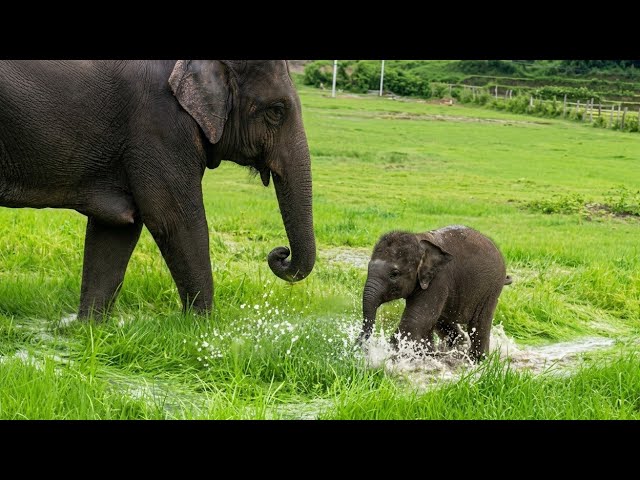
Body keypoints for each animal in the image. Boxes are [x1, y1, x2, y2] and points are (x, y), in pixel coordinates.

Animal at [0, 60, 316, 319]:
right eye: (276, 111)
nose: (280, 252)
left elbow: (117, 228)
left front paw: (90, 331)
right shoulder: (160, 125)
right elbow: (174, 220)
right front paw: (202, 331)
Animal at [358, 225, 511, 362]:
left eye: (394, 274)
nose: (361, 349)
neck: (418, 239)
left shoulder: (438, 279)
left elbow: (416, 319)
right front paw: (428, 354)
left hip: (491, 288)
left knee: (479, 323)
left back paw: (476, 360)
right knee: (442, 321)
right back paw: (458, 348)